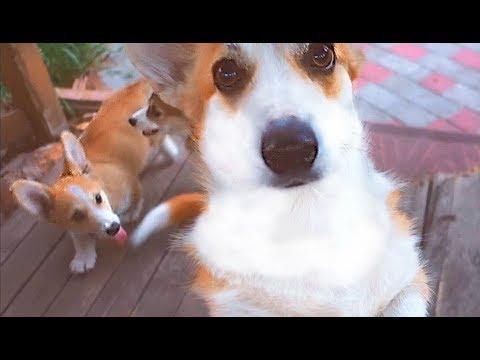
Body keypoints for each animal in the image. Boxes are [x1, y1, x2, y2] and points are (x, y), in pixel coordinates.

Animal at [10, 79, 156, 272]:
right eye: (77, 216)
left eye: (98, 198)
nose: (114, 228)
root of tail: (136, 84)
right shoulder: (75, 227)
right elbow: (79, 236)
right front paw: (84, 255)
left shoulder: (129, 181)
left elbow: (136, 194)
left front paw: (132, 211)